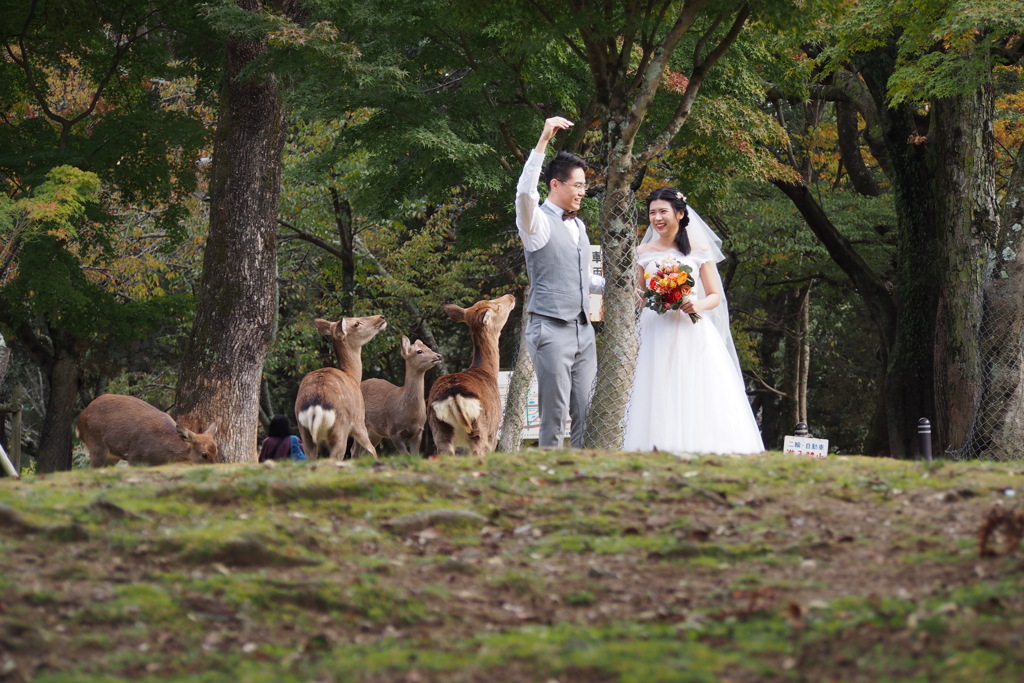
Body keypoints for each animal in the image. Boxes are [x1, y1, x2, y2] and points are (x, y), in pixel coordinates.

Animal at [76, 393, 219, 466]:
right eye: (204, 454)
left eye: (216, 451)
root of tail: (80, 419)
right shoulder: (135, 456)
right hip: (95, 443)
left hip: (112, 455)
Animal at [294, 313, 385, 458]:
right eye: (356, 323)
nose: (381, 317)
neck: (352, 376)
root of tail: (315, 408)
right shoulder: (359, 419)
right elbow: (371, 449)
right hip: (340, 429)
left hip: (304, 433)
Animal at [425, 292, 516, 456]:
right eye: (497, 307)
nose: (511, 296)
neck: (489, 372)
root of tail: (453, 394)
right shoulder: (493, 434)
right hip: (479, 431)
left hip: (439, 432)